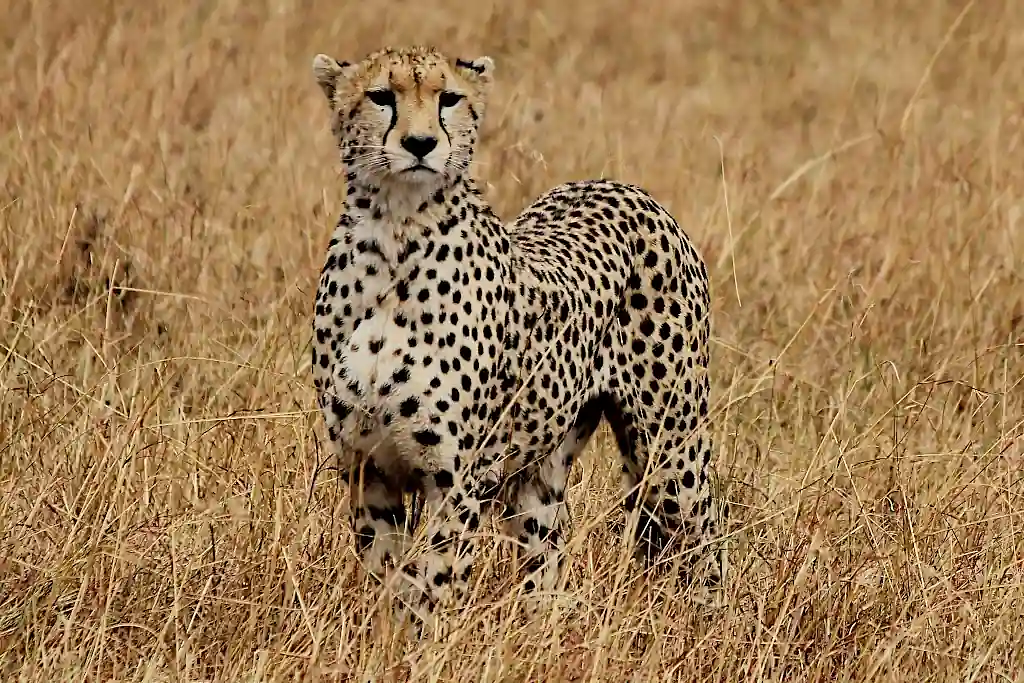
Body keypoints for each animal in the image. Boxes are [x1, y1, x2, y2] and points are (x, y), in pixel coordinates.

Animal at [309, 45, 729, 633]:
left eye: (448, 98)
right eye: (380, 96)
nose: (421, 144)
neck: (395, 234)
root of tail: (622, 186)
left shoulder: (457, 478)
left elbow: (433, 580)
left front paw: (425, 642)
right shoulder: (368, 469)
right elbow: (388, 579)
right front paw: (389, 640)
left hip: (670, 447)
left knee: (704, 533)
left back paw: (710, 627)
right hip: (543, 468)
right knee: (548, 554)